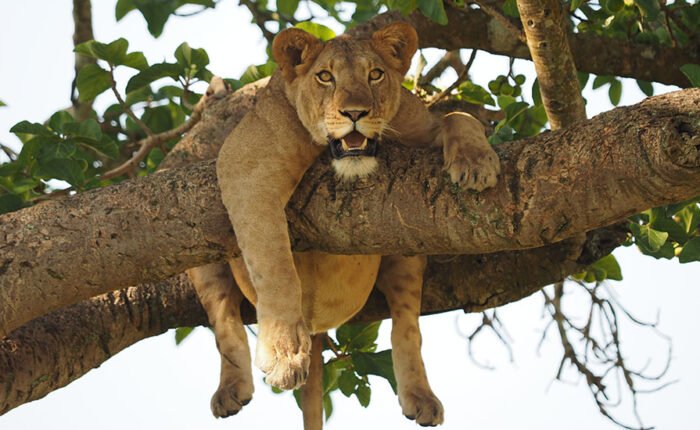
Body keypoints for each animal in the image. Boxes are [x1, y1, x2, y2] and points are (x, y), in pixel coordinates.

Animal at [189, 22, 500, 426]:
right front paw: (284, 355)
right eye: (325, 76)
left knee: (407, 324)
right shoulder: (246, 165)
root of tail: (318, 328)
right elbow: (275, 267)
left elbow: (458, 117)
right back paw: (231, 390)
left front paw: (477, 163)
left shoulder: (418, 123)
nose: (355, 112)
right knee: (224, 320)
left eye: (375, 74)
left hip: (407, 248)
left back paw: (421, 397)